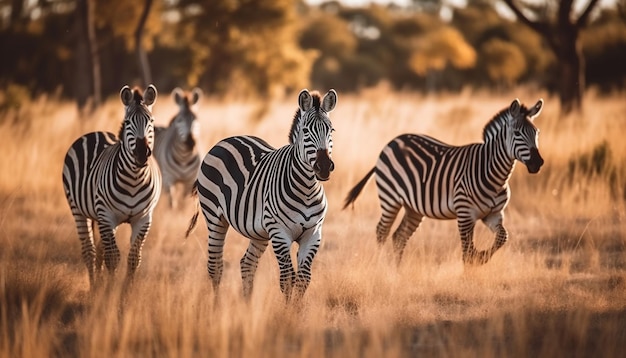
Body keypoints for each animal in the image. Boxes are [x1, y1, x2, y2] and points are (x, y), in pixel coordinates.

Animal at [61, 85, 161, 290]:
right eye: (128, 122)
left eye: (151, 121)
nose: (142, 153)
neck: (134, 179)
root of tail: (96, 132)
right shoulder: (107, 215)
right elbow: (113, 258)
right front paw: (110, 294)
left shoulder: (143, 218)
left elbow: (134, 258)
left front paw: (125, 293)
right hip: (79, 210)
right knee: (90, 251)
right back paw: (94, 288)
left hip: (100, 218)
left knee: (100, 250)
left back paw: (99, 284)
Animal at [185, 89, 336, 300]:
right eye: (306, 131)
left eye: (331, 131)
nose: (323, 167)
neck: (306, 188)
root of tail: (227, 139)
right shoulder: (280, 233)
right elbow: (287, 280)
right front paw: (286, 310)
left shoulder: (313, 234)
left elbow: (303, 280)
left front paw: (297, 309)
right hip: (215, 219)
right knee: (215, 267)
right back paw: (216, 306)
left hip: (259, 231)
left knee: (247, 264)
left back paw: (247, 306)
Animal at [342, 98, 540, 266]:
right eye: (517, 133)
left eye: (537, 133)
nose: (538, 162)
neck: (494, 175)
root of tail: (392, 141)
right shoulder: (465, 214)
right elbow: (467, 251)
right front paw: (470, 273)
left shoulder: (494, 214)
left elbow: (502, 237)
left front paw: (481, 257)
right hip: (390, 198)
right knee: (382, 232)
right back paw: (380, 266)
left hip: (413, 207)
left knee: (399, 237)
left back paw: (396, 273)